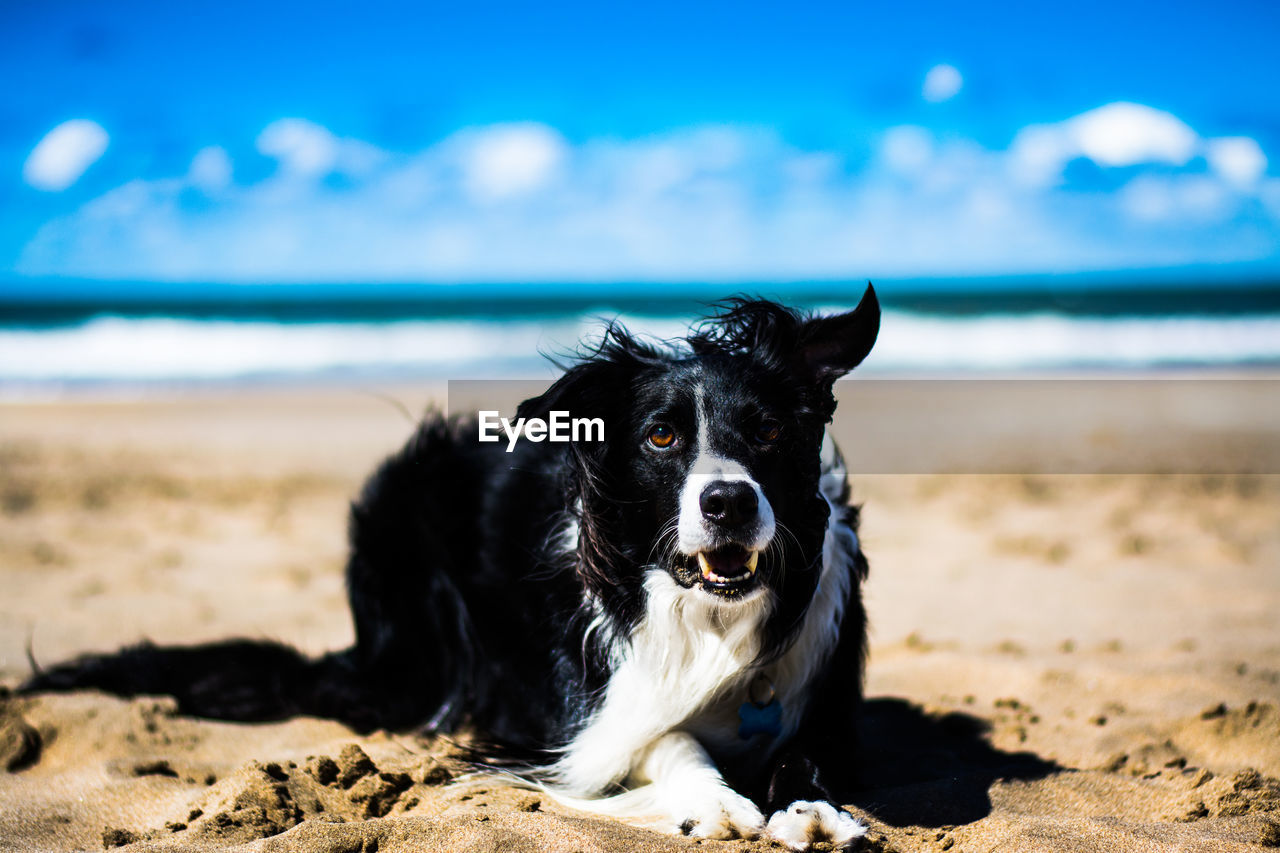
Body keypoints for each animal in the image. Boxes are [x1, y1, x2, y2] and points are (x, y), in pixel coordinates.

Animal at [24, 286, 880, 850]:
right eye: (663, 437)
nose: (729, 501)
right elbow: (665, 737)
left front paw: (807, 805)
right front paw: (714, 798)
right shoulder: (574, 717)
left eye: (769, 430)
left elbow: (804, 748)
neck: (710, 612)